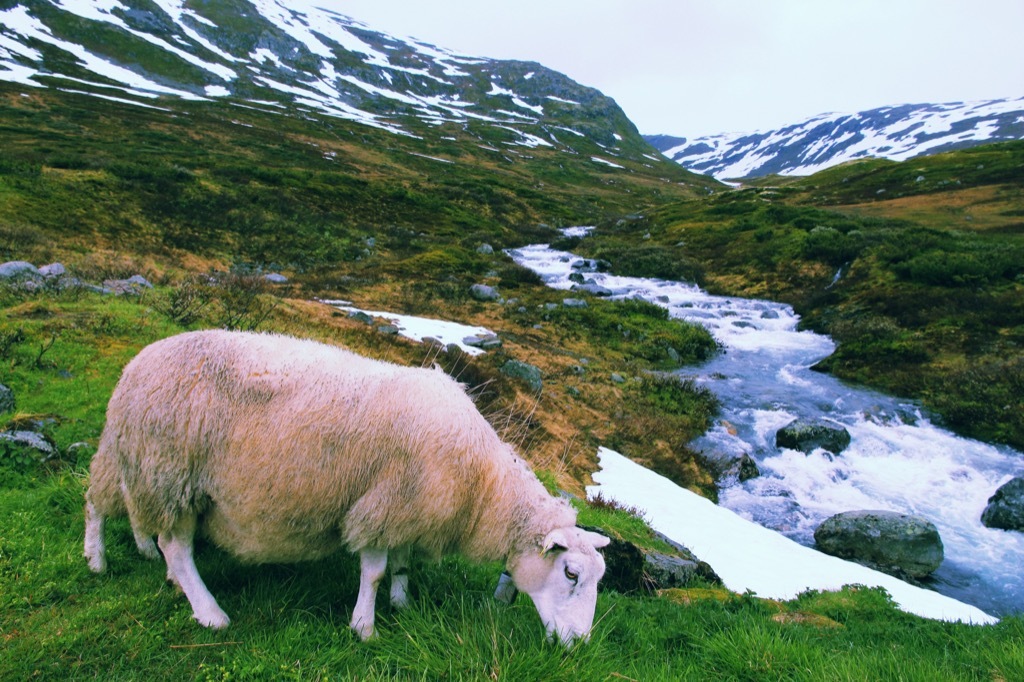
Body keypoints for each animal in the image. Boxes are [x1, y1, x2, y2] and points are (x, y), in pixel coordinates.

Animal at [84, 330, 609, 643]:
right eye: (570, 574)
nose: (578, 645)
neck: (481, 484)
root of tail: (139, 362)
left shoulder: (407, 509)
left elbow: (402, 564)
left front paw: (402, 602)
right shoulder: (382, 504)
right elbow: (373, 573)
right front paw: (365, 626)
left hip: (141, 466)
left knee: (110, 503)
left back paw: (136, 561)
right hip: (170, 471)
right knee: (167, 542)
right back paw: (195, 604)